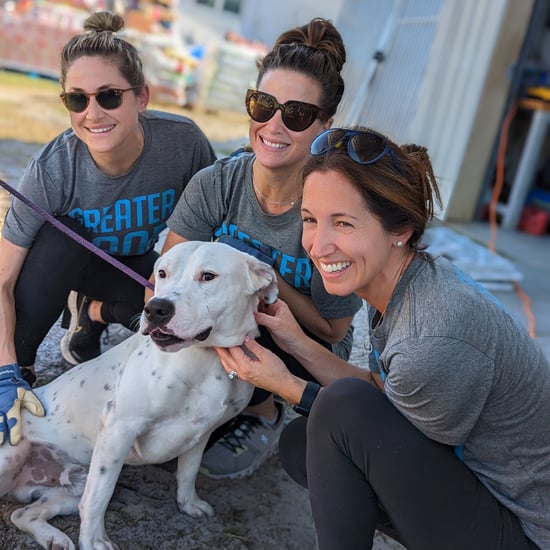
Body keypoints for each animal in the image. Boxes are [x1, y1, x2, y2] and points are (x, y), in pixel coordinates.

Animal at [0, 243, 278, 550]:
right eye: (162, 272)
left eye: (208, 276)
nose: (156, 308)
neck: (206, 360)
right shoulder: (119, 428)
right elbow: (98, 498)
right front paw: (95, 541)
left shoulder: (202, 432)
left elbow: (188, 471)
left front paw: (188, 504)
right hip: (13, 454)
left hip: (68, 489)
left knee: (23, 514)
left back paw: (55, 539)